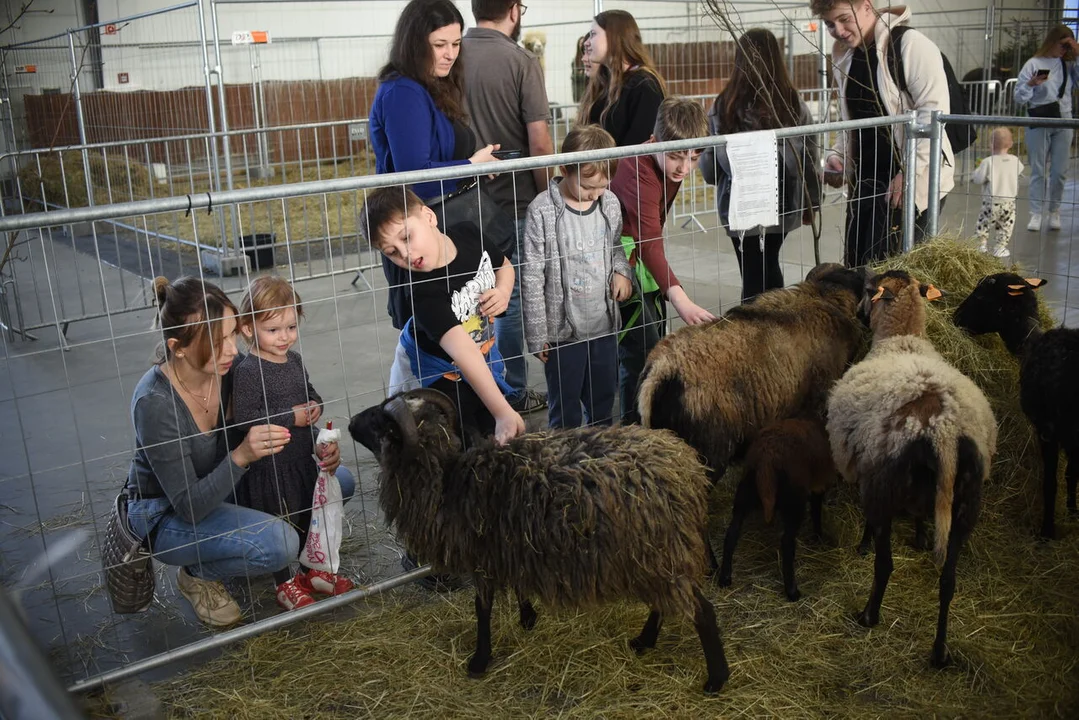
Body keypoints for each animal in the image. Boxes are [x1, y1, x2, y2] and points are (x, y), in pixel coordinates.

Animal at [720, 414, 837, 600]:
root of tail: (766, 461)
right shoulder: (819, 484)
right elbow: (816, 510)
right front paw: (818, 536)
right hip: (794, 501)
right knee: (787, 542)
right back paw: (792, 591)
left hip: (745, 493)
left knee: (732, 533)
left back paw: (725, 578)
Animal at [824, 272, 992, 669]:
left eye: (868, 291)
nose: (858, 313)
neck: (902, 339)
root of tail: (943, 430)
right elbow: (918, 517)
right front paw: (919, 537)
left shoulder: (865, 468)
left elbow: (868, 527)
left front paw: (863, 545)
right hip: (966, 505)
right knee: (948, 581)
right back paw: (939, 652)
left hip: (885, 487)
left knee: (885, 565)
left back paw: (869, 615)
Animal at [953, 273, 1070, 537]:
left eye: (981, 295)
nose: (955, 317)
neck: (1031, 341)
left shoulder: (1047, 430)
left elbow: (1051, 481)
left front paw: (1047, 531)